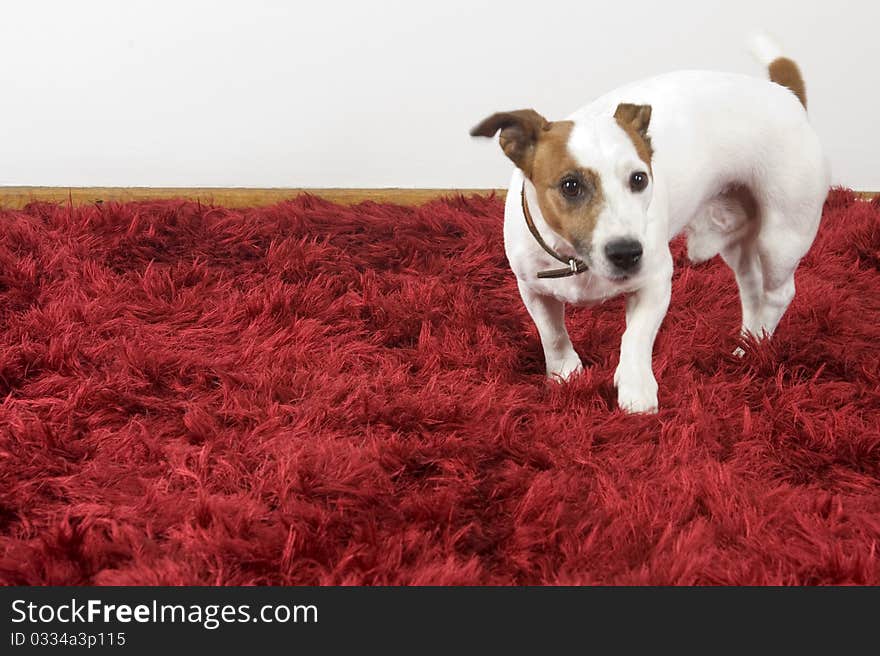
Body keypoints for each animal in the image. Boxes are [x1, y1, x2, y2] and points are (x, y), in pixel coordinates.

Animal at [470, 33, 828, 412]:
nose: (627, 253)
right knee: (752, 286)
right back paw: (747, 344)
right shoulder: (532, 288)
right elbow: (552, 335)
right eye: (570, 185)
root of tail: (786, 95)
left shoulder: (655, 280)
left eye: (639, 179)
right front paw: (565, 374)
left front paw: (635, 386)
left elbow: (635, 336)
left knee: (778, 293)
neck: (576, 259)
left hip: (782, 234)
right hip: (735, 237)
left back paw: (757, 345)